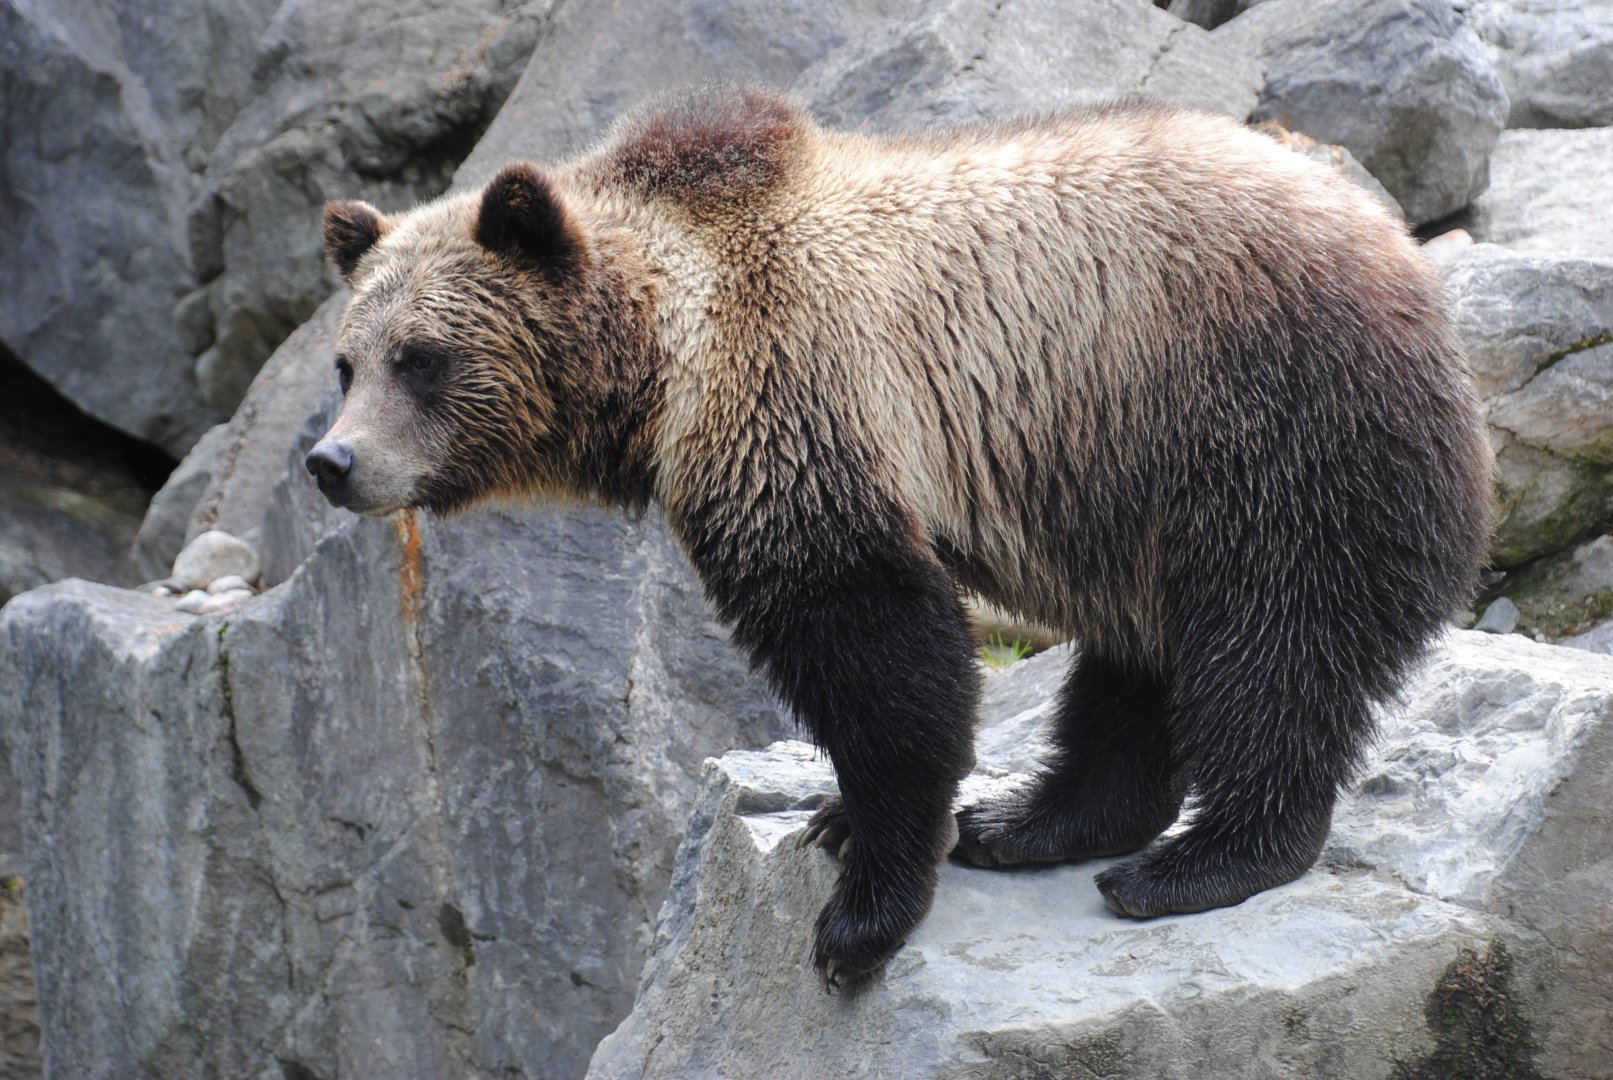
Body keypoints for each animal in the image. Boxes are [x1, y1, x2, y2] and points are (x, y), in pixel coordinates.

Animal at [307, 85, 1492, 989]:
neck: (665, 354)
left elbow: (874, 642)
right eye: (346, 361)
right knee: (1137, 662)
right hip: (1130, 484)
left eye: (422, 358)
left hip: (1259, 421)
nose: (332, 462)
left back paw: (1194, 862)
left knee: (1270, 641)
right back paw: (1031, 821)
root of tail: (1402, 251)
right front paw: (844, 822)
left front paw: (858, 913)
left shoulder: (797, 397)